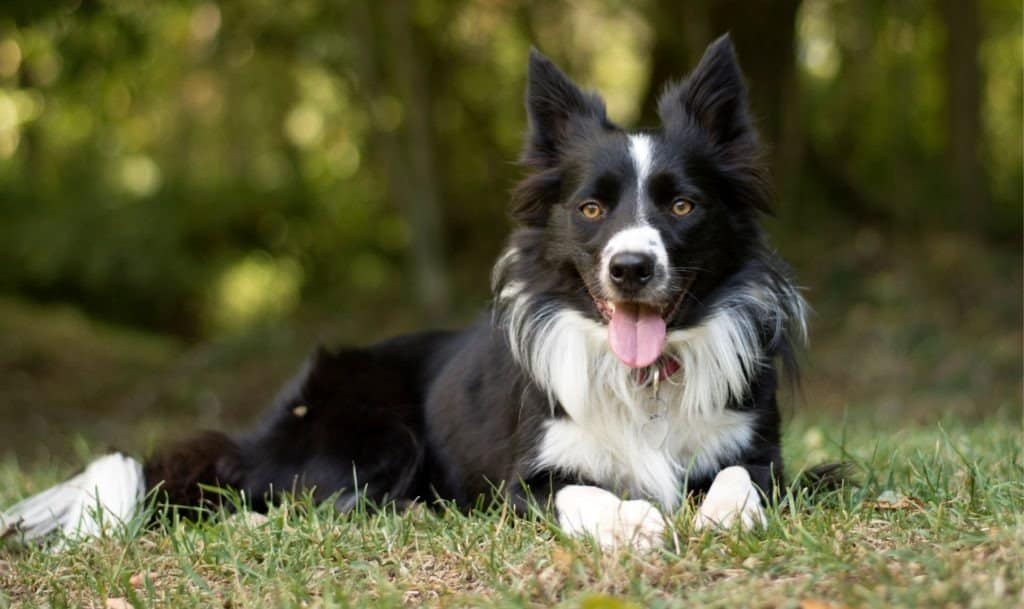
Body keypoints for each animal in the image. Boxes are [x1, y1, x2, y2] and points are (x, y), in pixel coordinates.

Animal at [2, 38, 815, 552]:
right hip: (374, 432)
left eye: (681, 206)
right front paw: (635, 523)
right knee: (273, 497)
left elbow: (741, 477)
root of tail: (259, 432)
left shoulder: (764, 454)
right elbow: (582, 492)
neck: (644, 379)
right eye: (591, 208)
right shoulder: (522, 481)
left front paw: (720, 516)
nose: (632, 268)